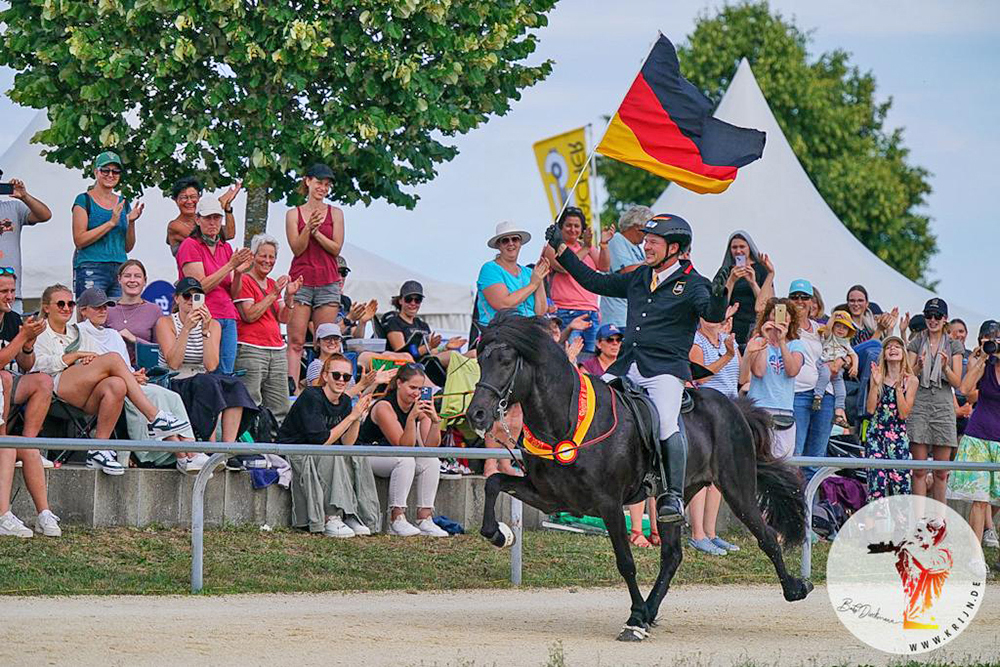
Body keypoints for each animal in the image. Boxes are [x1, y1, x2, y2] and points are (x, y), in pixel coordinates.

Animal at [468, 316, 812, 644]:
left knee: (767, 536)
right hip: (674, 498)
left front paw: (633, 619)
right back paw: (650, 610)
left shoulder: (608, 504)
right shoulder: (548, 496)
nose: (477, 415)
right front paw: (498, 534)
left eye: (506, 360)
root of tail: (732, 405)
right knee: (672, 555)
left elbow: (626, 562)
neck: (564, 422)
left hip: (737, 488)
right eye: (480, 360)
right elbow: (493, 482)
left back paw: (796, 588)